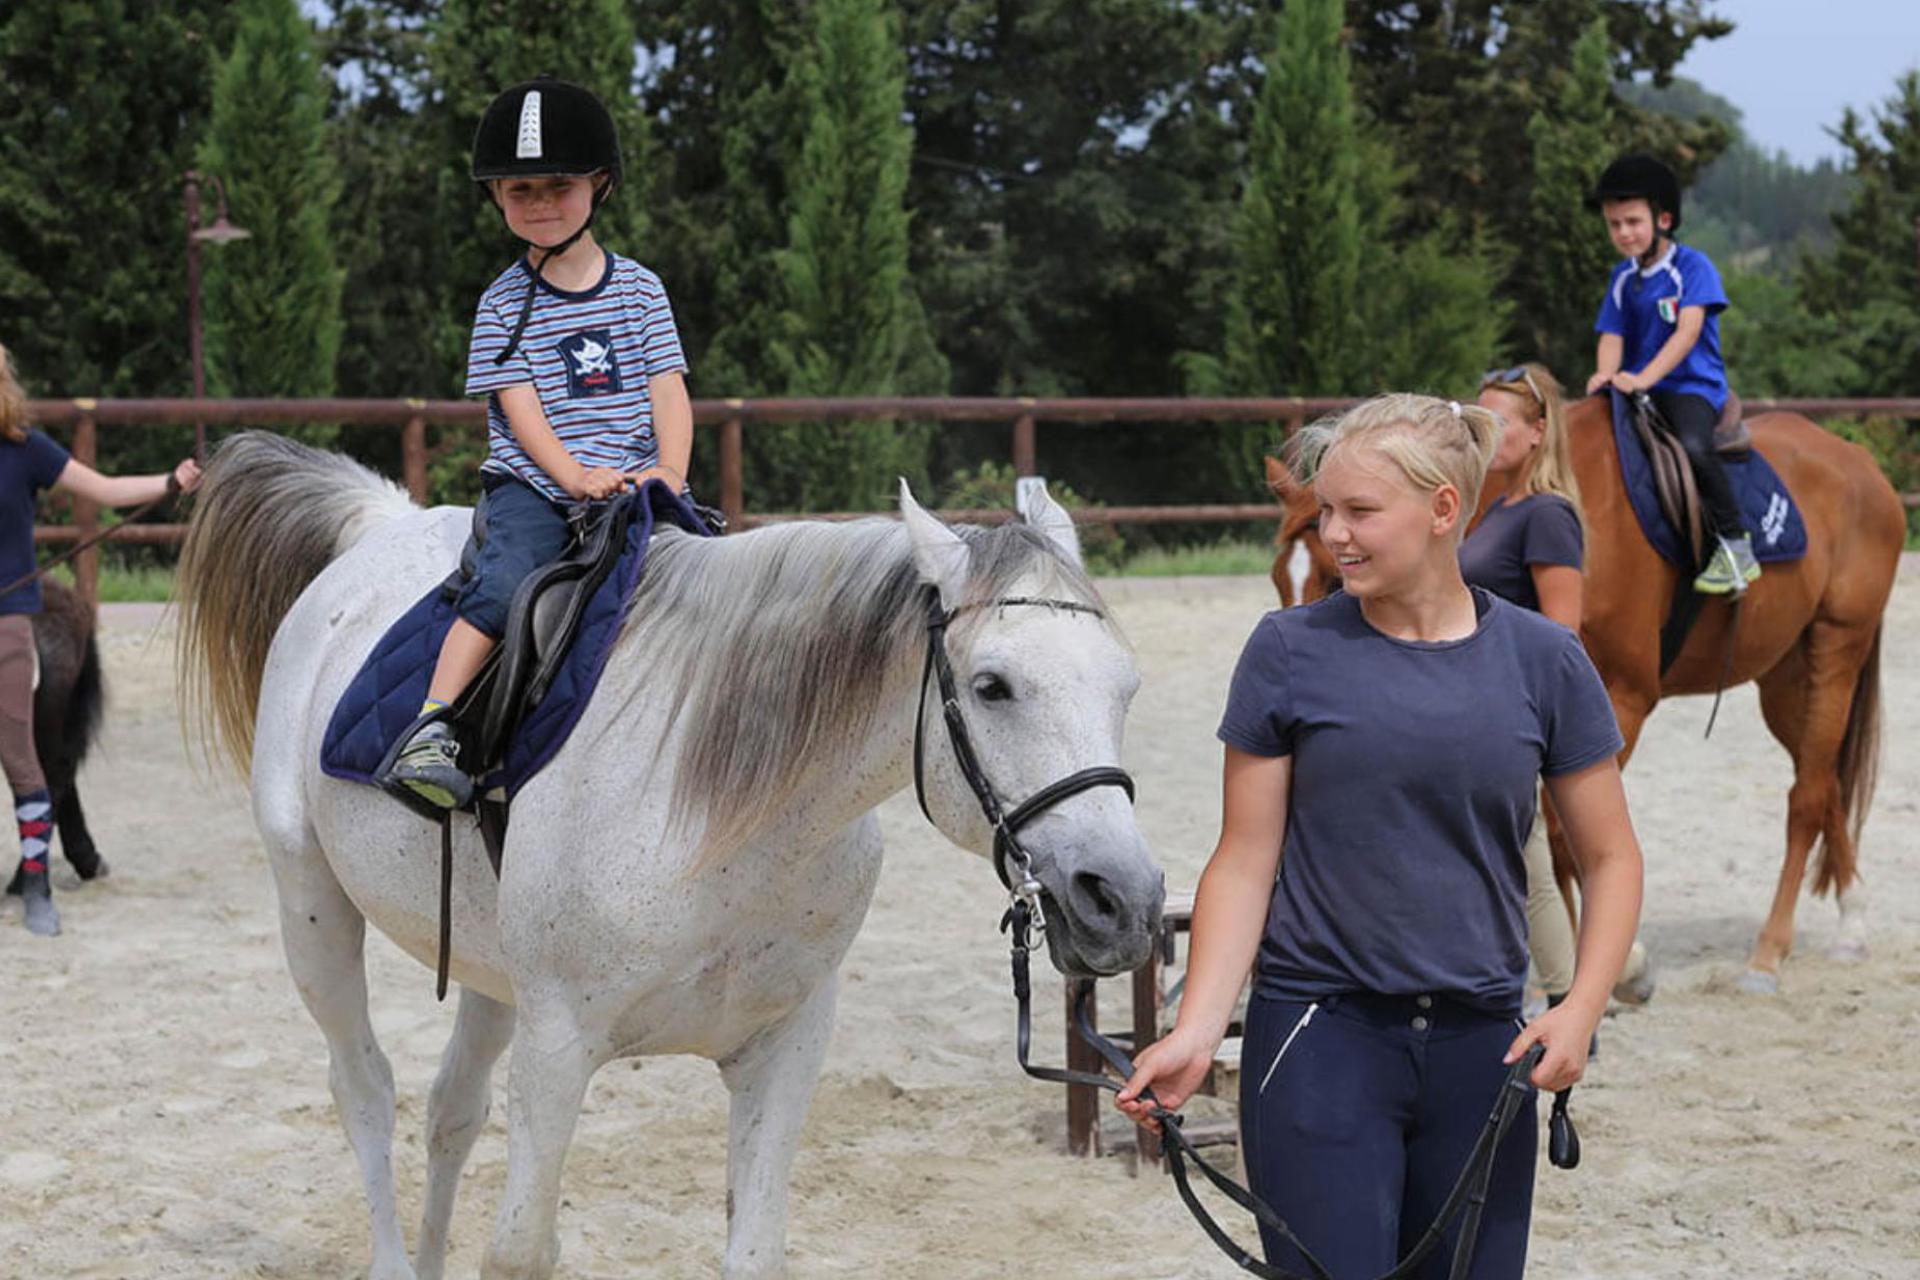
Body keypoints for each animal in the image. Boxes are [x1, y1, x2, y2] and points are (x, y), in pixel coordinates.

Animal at [172, 435, 1159, 1274]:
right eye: (993, 686)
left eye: (1128, 686)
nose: (1125, 900)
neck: (727, 822)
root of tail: (383, 523)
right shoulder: (558, 1049)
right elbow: (521, 1251)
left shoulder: (784, 1046)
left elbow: (754, 1251)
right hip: (313, 911)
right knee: (365, 1089)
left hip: (494, 978)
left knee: (451, 1113)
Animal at [1267, 397, 1912, 990]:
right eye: (1279, 579)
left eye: (1336, 572)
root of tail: (1859, 464)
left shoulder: (1621, 700)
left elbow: (1567, 837)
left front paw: (1609, 964)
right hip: (1785, 678)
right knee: (1824, 780)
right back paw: (1852, 924)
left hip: (1836, 648)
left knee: (1806, 796)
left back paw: (1769, 953)